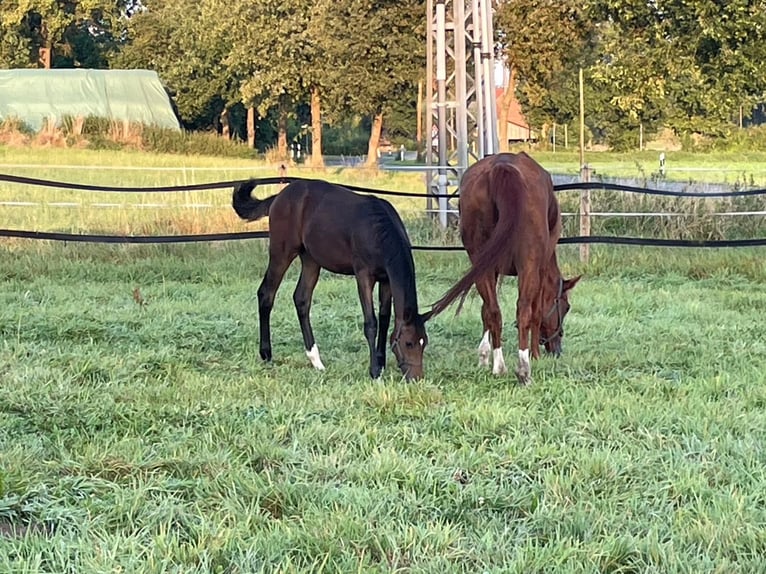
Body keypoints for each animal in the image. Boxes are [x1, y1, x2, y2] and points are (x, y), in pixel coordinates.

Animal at [234, 178, 432, 380]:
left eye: (424, 342)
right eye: (409, 343)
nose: (416, 378)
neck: (378, 231)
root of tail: (279, 197)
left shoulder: (385, 279)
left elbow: (384, 319)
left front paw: (381, 362)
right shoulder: (364, 276)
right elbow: (371, 322)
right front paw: (375, 371)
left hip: (311, 259)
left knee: (301, 299)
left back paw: (316, 361)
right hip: (282, 252)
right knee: (266, 294)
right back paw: (266, 354)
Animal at [432, 153, 584, 388]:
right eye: (566, 307)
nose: (557, 350)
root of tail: (502, 168)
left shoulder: (491, 268)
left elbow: (486, 311)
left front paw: (484, 356)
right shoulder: (539, 270)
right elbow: (536, 313)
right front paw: (534, 354)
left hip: (481, 262)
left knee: (494, 310)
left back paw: (498, 367)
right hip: (528, 265)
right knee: (523, 311)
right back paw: (523, 370)